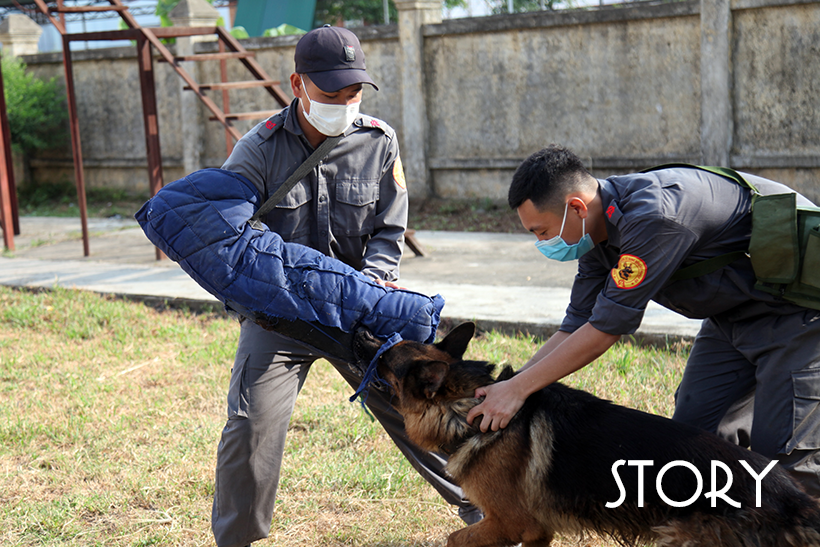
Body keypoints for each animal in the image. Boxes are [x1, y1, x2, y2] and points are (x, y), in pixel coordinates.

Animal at [356, 324, 820, 544]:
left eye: (387, 357)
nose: (361, 332)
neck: (464, 406)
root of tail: (791, 498)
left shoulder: (510, 524)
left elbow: (455, 537)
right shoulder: (536, 533)